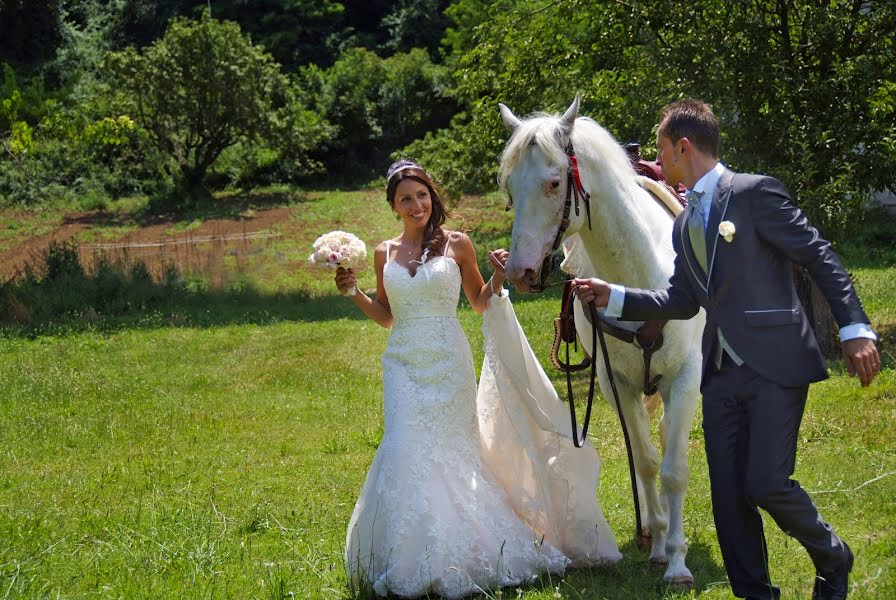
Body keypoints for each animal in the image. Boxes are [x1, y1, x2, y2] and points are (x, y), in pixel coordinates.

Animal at [500, 96, 704, 588]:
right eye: (510, 187)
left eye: (554, 182)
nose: (520, 271)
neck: (643, 282)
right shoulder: (618, 385)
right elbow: (646, 461)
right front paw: (660, 544)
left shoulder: (686, 376)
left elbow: (675, 469)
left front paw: (678, 562)